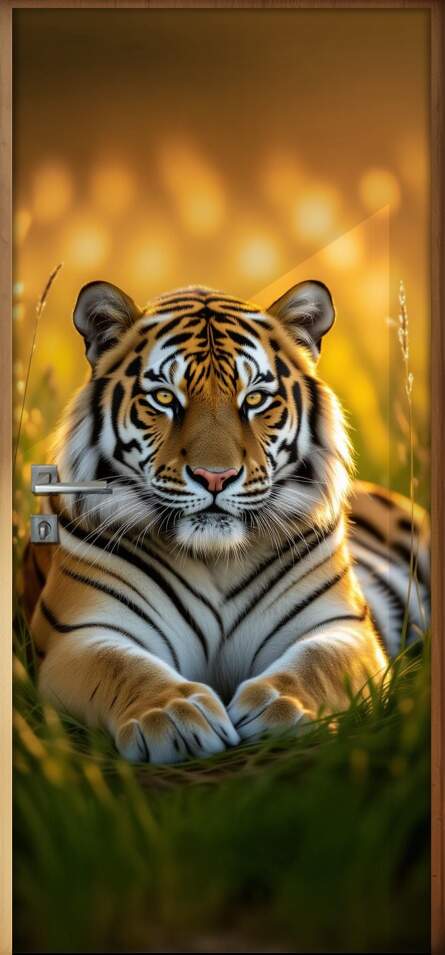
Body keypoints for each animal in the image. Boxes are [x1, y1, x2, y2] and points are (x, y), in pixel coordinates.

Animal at [24, 279, 430, 763]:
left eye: (254, 399)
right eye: (165, 398)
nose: (214, 476)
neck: (215, 557)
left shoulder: (340, 627)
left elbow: (316, 666)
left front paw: (281, 708)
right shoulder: (81, 633)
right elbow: (122, 667)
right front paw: (173, 716)